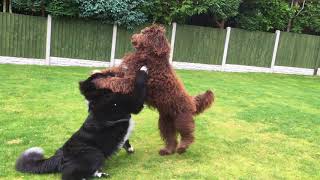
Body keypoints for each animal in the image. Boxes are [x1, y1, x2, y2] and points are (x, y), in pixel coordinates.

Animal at [15, 69, 148, 179]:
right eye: (105, 75)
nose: (116, 71)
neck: (100, 95)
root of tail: (59, 155)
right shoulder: (133, 103)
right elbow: (140, 84)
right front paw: (143, 69)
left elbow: (126, 141)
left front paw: (130, 149)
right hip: (95, 154)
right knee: (69, 175)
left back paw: (101, 174)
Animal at [92, 24, 215, 155]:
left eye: (144, 33)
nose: (133, 36)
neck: (151, 57)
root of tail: (192, 102)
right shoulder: (125, 72)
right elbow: (113, 71)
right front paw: (97, 72)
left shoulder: (131, 82)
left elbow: (115, 80)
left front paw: (99, 81)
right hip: (165, 122)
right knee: (171, 137)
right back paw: (167, 151)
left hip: (182, 118)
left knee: (188, 134)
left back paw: (182, 147)